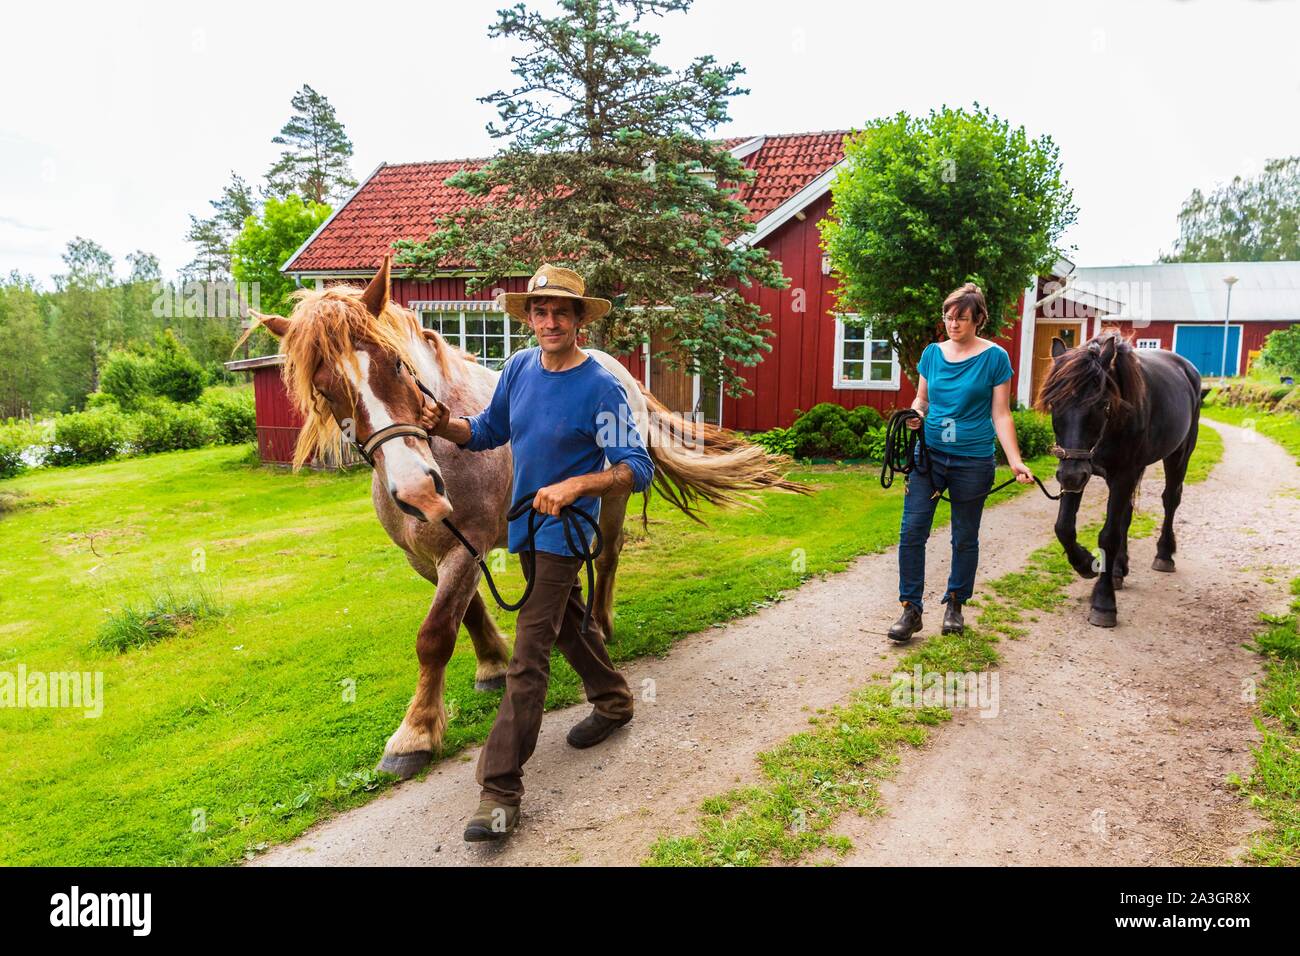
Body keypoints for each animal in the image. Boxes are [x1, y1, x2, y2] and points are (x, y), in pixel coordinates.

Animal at [242, 257, 807, 778]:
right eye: (325, 388)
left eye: (396, 364)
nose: (420, 490)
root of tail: (618, 369)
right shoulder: (428, 555)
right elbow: (467, 613)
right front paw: (492, 667)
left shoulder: (463, 546)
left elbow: (435, 636)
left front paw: (414, 735)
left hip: (610, 502)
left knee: (607, 556)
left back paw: (600, 624)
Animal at [1036, 330, 1201, 627]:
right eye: (1055, 403)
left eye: (1102, 403)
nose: (1071, 477)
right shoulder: (1081, 471)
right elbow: (1064, 527)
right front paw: (1085, 562)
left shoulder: (1120, 474)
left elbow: (1109, 535)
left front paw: (1103, 602)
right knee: (1127, 514)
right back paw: (1118, 569)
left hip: (1179, 455)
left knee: (1170, 500)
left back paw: (1164, 555)